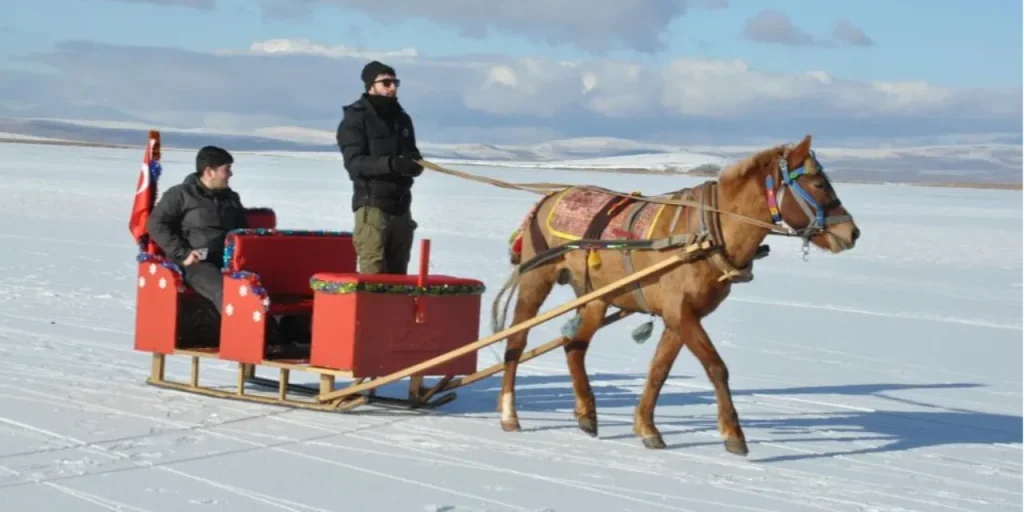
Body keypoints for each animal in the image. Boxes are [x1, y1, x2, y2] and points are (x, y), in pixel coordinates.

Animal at [493, 134, 860, 455]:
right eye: (818, 184)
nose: (853, 232)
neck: (708, 234)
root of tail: (547, 198)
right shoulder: (680, 312)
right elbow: (716, 367)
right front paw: (733, 433)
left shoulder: (680, 316)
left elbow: (659, 370)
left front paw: (646, 427)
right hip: (536, 279)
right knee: (516, 342)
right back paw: (509, 414)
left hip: (596, 296)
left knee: (574, 346)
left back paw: (586, 413)